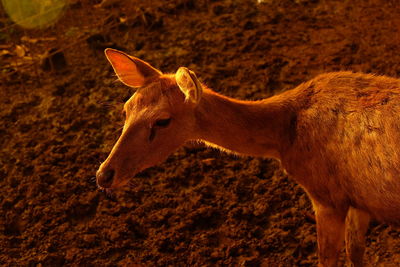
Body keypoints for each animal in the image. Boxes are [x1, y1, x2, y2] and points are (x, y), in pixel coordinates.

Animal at [95, 48, 400, 267]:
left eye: (162, 121)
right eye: (126, 109)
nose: (104, 174)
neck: (283, 138)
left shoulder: (326, 195)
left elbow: (327, 259)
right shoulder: (358, 198)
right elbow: (355, 252)